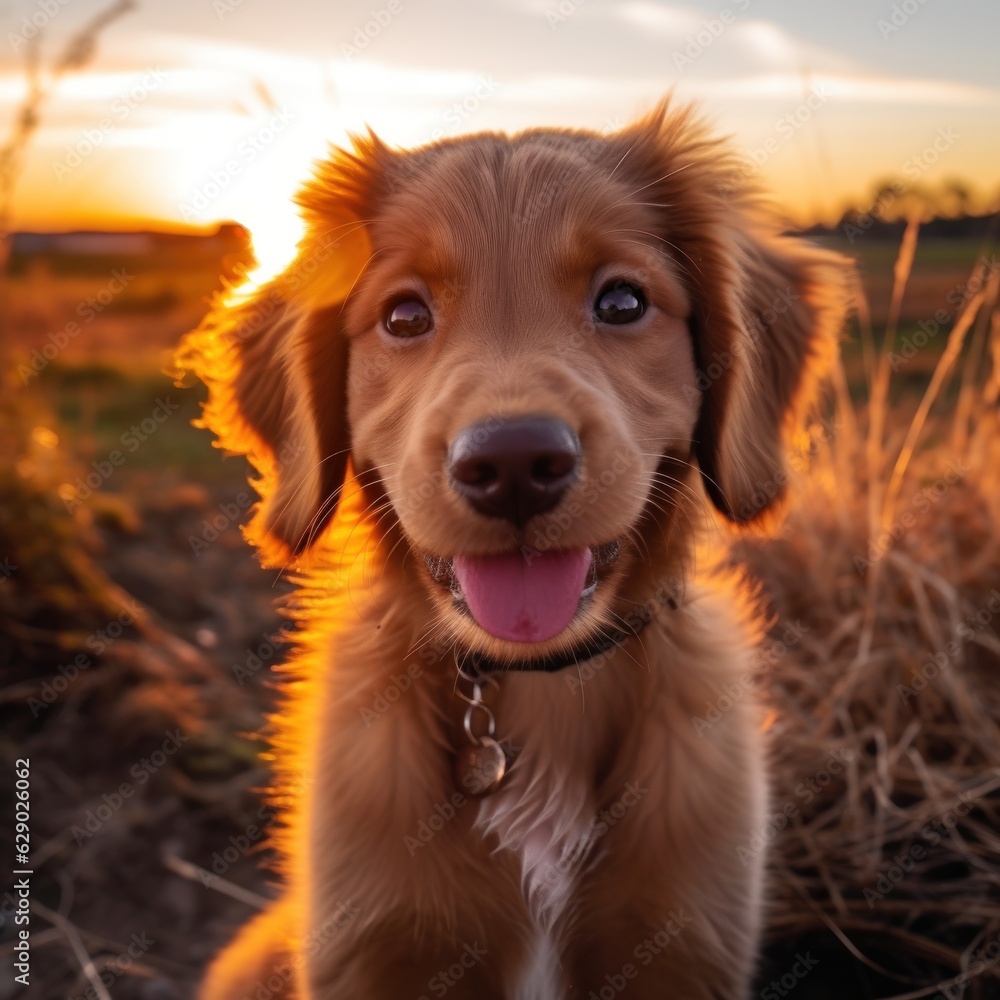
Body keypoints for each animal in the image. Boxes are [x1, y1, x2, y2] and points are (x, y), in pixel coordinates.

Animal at [184, 99, 848, 1000]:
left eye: (623, 302)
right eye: (404, 316)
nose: (513, 465)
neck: (538, 689)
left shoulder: (684, 944)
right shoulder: (374, 946)